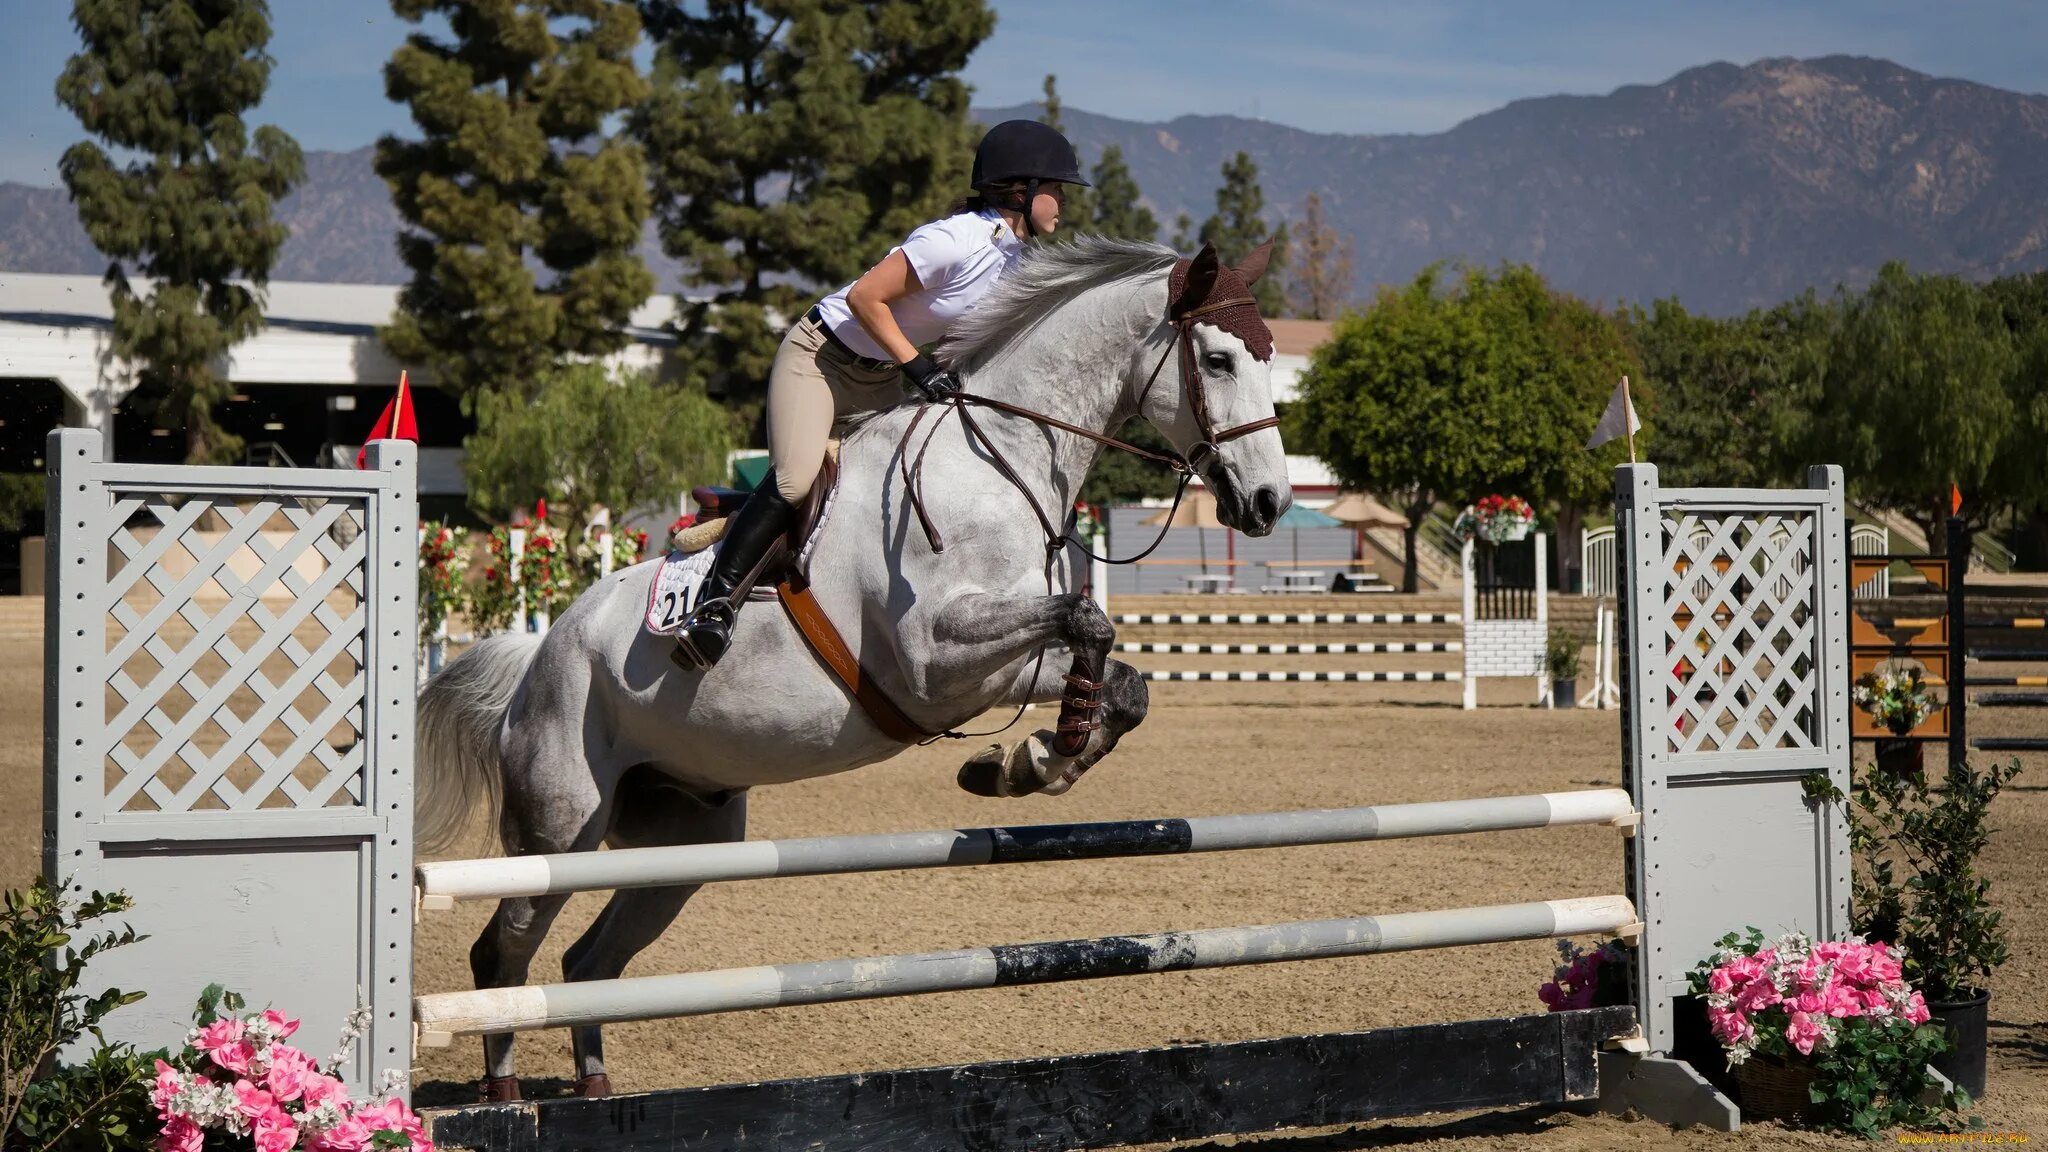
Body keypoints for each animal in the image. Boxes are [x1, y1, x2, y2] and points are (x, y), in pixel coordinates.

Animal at [407, 235, 1286, 1090]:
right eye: (1217, 360)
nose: (1269, 503)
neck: (995, 462)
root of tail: (539, 658)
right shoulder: (936, 659)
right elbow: (1087, 620)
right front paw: (1048, 750)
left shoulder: (988, 672)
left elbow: (1120, 679)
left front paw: (1032, 759)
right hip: (559, 827)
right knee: (503, 953)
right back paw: (504, 1096)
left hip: (683, 845)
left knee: (588, 962)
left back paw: (595, 1089)